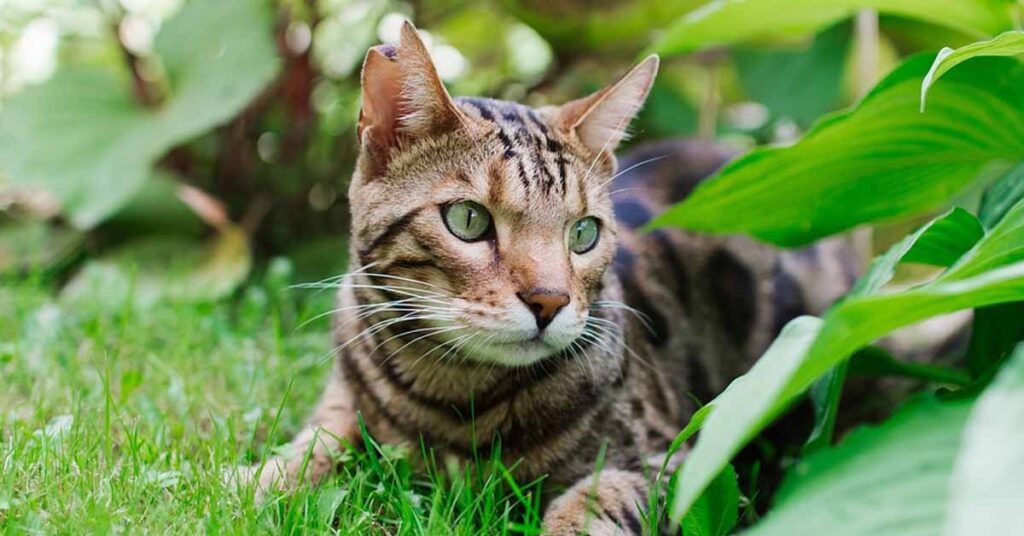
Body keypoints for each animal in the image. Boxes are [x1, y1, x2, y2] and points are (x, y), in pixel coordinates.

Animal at [249, 22, 856, 536]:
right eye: (468, 220)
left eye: (583, 233)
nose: (549, 301)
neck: (453, 393)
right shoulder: (344, 398)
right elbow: (314, 445)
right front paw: (258, 481)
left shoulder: (675, 459)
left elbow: (597, 500)